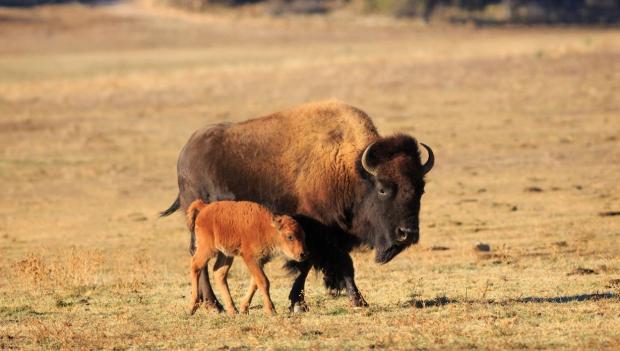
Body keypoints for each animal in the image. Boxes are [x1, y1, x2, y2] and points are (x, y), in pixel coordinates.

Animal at [162, 100, 434, 312]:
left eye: (420, 189)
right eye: (382, 189)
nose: (407, 234)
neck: (350, 170)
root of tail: (185, 153)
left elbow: (314, 264)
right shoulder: (317, 232)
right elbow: (332, 264)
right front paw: (350, 301)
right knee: (198, 258)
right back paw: (213, 305)